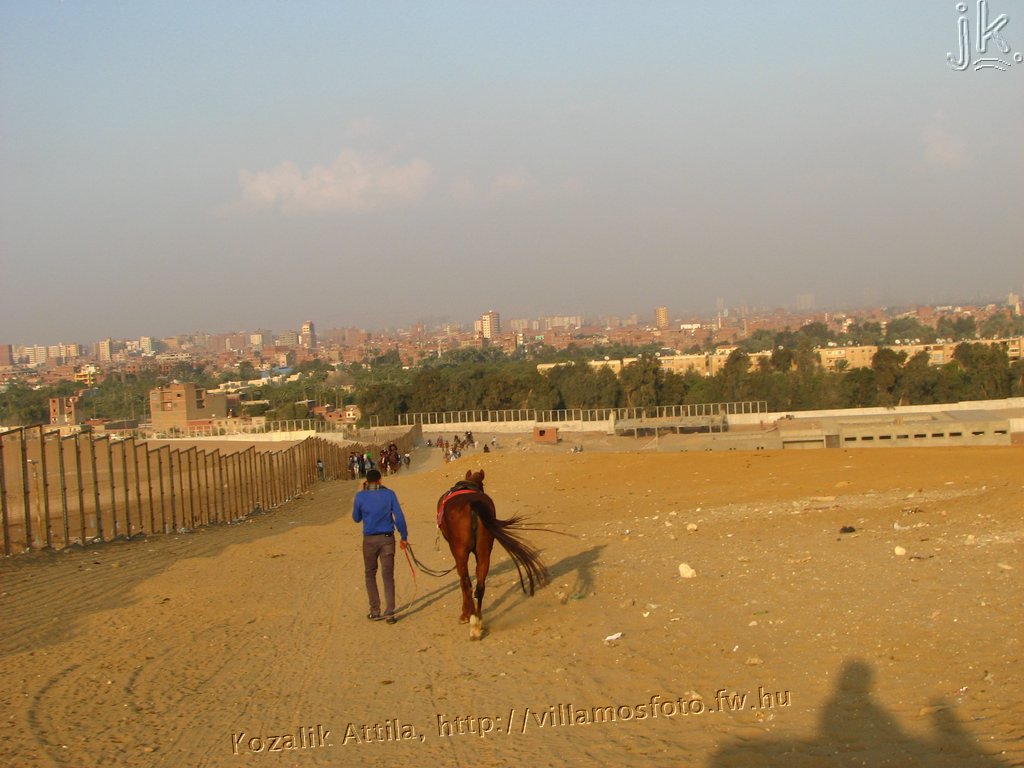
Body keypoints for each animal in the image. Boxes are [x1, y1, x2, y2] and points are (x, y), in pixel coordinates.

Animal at [436, 469, 548, 639]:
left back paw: (472, 620)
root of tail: (472, 505)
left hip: (461, 553)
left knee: (467, 584)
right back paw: (478, 623)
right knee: (480, 586)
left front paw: (464, 615)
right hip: (484, 552)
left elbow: (462, 583)